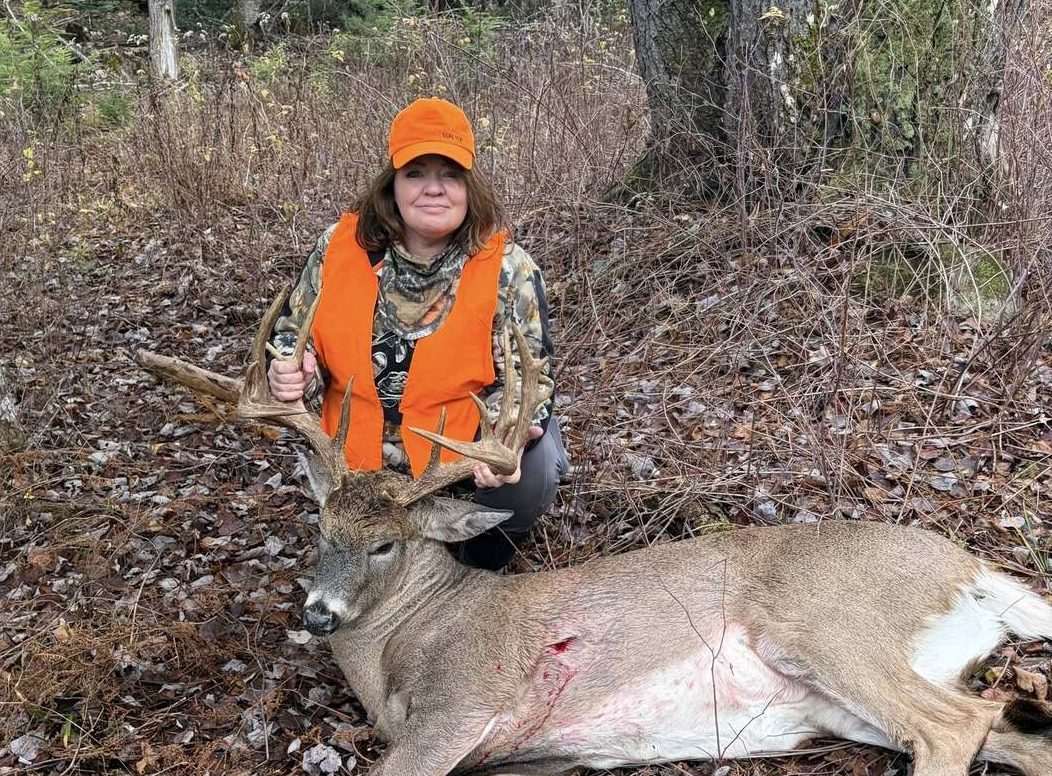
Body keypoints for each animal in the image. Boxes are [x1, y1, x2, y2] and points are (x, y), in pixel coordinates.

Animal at [137, 288, 1052, 776]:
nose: (318, 612)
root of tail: (967, 563)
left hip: (827, 625)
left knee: (953, 726)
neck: (398, 649)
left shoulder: (462, 703)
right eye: (320, 522)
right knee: (1003, 727)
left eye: (386, 543)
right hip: (844, 697)